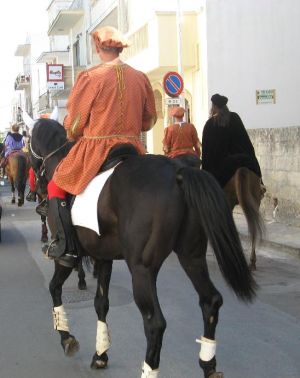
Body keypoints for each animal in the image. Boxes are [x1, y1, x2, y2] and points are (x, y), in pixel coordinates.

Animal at [29, 118, 255, 378]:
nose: (37, 191)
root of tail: (178, 172)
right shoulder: (103, 257)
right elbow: (101, 303)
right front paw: (101, 354)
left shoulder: (66, 256)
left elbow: (54, 288)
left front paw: (66, 338)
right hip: (192, 256)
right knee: (210, 301)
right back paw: (209, 365)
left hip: (142, 270)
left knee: (155, 323)